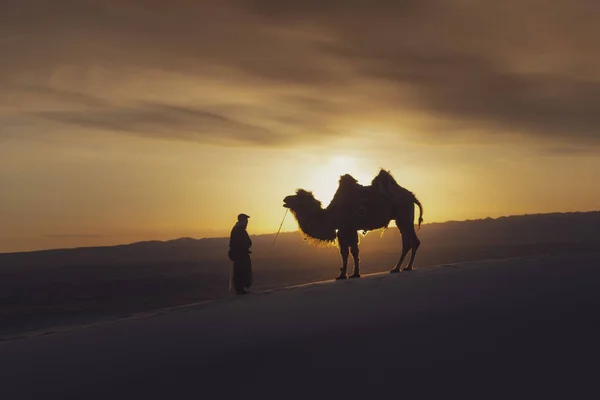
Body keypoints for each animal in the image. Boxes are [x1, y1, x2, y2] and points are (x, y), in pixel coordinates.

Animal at [284, 170, 424, 280]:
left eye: (298, 197)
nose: (285, 199)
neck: (331, 215)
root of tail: (412, 196)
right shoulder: (345, 230)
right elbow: (350, 252)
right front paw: (348, 274)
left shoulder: (346, 228)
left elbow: (349, 252)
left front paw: (349, 275)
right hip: (402, 219)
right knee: (408, 241)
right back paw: (401, 267)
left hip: (403, 216)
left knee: (412, 241)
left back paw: (403, 267)